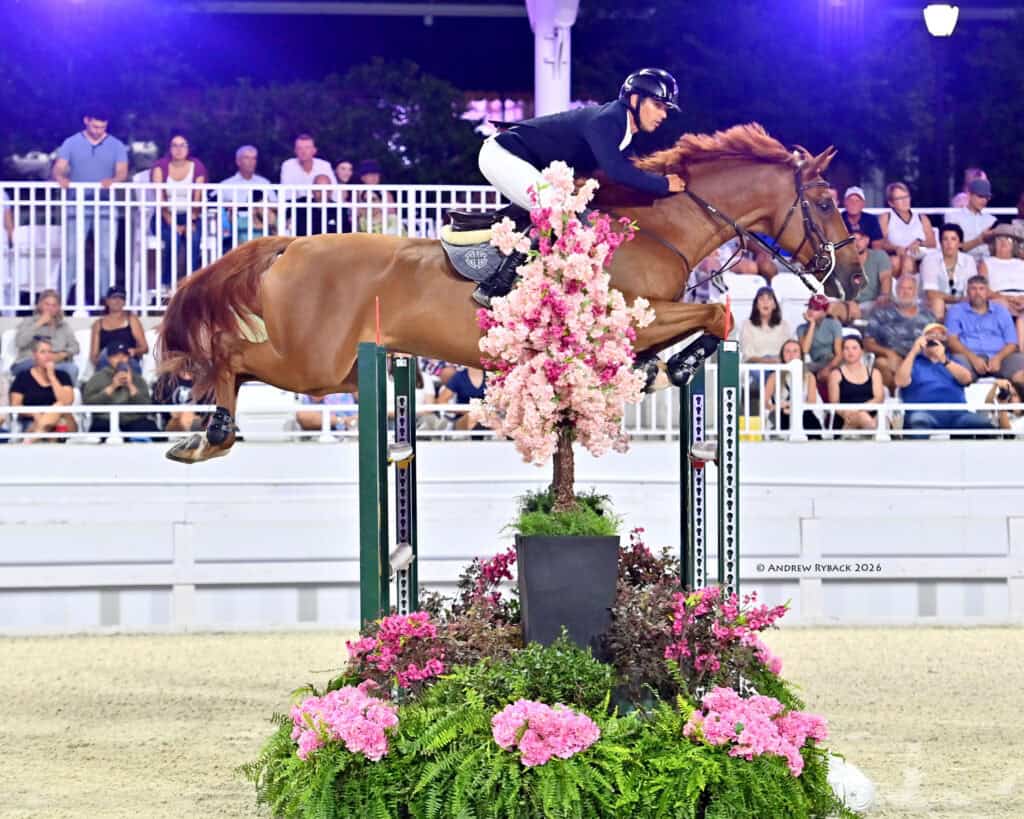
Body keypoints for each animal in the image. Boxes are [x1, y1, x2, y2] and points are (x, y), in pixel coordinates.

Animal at [159, 123, 862, 464]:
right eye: (827, 203)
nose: (852, 279)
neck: (659, 227)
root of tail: (292, 245)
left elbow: (709, 318)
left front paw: (656, 367)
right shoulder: (634, 314)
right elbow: (717, 314)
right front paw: (675, 366)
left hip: (333, 365)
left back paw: (205, 434)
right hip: (313, 361)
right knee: (232, 357)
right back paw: (206, 433)